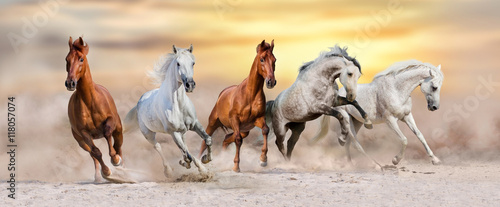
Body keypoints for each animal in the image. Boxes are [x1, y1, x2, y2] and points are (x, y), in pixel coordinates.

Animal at [65, 36, 124, 182]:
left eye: (81, 59)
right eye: (67, 59)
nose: (70, 83)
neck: (89, 101)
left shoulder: (111, 121)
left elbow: (108, 133)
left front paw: (115, 159)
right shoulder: (84, 133)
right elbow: (96, 152)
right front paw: (106, 172)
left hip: (119, 130)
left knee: (119, 146)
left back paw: (121, 166)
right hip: (81, 142)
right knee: (92, 154)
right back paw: (98, 177)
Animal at [124, 44, 213, 177]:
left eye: (193, 63)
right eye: (178, 63)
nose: (190, 85)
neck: (179, 106)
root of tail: (140, 100)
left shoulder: (194, 124)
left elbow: (207, 139)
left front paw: (205, 160)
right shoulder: (173, 132)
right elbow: (186, 155)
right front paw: (187, 164)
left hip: (182, 132)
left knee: (185, 146)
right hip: (148, 134)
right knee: (158, 147)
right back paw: (168, 171)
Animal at [199, 39, 278, 172]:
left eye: (274, 60)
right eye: (262, 59)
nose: (271, 82)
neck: (250, 94)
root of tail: (222, 94)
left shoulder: (258, 119)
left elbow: (265, 130)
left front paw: (263, 160)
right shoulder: (235, 120)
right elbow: (238, 140)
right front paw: (236, 166)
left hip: (244, 131)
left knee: (226, 140)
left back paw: (223, 158)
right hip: (213, 123)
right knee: (205, 142)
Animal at [312, 59, 446, 165]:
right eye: (434, 87)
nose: (434, 107)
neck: (396, 90)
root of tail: (336, 95)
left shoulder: (407, 116)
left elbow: (420, 135)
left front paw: (435, 160)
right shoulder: (390, 120)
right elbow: (404, 140)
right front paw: (395, 160)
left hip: (357, 121)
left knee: (349, 143)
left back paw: (350, 162)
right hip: (347, 119)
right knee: (356, 144)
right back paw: (375, 165)